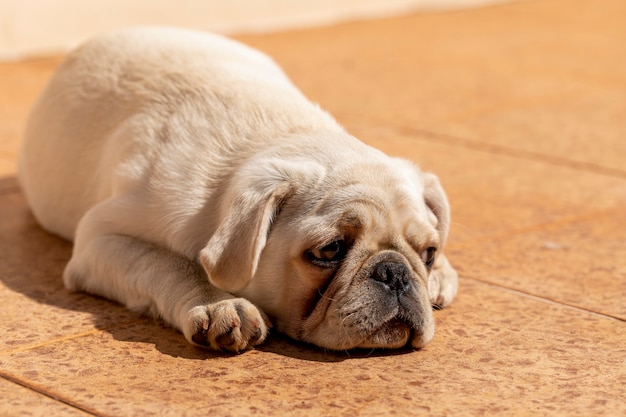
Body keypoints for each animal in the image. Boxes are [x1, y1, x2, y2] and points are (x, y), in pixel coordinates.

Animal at [19, 26, 456, 352]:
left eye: (429, 253)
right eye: (329, 251)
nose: (394, 273)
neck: (285, 134)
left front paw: (438, 273)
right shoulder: (101, 238)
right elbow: (170, 263)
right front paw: (220, 304)